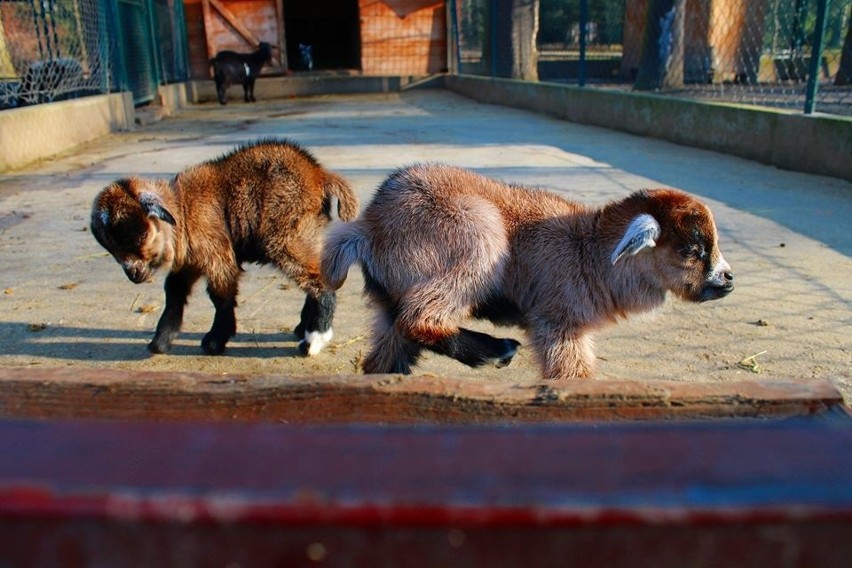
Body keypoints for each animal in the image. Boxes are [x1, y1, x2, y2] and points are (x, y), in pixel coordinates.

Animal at [93, 140, 360, 358]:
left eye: (142, 235)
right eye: (111, 248)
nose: (134, 274)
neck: (183, 210)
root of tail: (319, 175)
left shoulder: (216, 252)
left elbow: (220, 296)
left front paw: (214, 342)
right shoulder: (190, 261)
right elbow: (174, 292)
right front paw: (160, 342)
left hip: (285, 236)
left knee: (319, 281)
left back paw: (312, 342)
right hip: (307, 233)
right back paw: (303, 328)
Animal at [322, 163, 736, 378]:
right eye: (692, 250)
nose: (727, 279)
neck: (587, 249)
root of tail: (369, 227)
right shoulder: (557, 321)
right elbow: (571, 376)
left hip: (388, 304)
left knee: (385, 356)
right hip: (478, 236)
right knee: (421, 319)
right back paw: (495, 351)